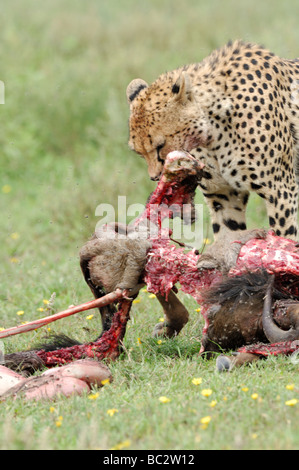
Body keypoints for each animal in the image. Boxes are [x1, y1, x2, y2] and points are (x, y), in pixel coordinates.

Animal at [126, 40, 299, 255]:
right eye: (139, 153)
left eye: (160, 146)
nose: (155, 177)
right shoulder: (223, 195)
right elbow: (228, 234)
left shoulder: (280, 191)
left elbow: (284, 238)